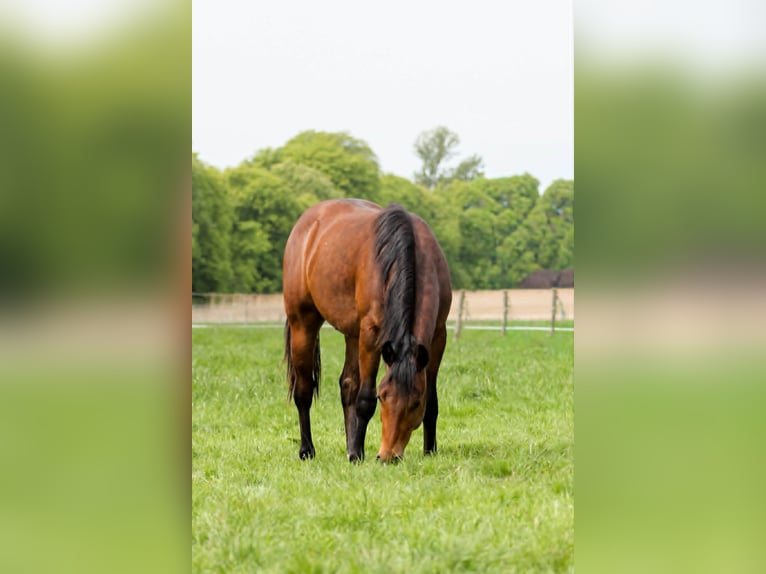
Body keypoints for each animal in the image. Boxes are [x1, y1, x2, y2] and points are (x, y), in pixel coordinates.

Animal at [282, 199, 452, 462]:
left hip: (352, 333)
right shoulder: (372, 334)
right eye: (382, 396)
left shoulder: (438, 337)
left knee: (347, 385)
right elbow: (364, 399)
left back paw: (350, 446)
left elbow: (432, 401)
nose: (388, 456)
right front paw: (357, 454)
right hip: (303, 323)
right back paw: (308, 450)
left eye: (416, 402)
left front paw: (430, 451)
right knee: (304, 390)